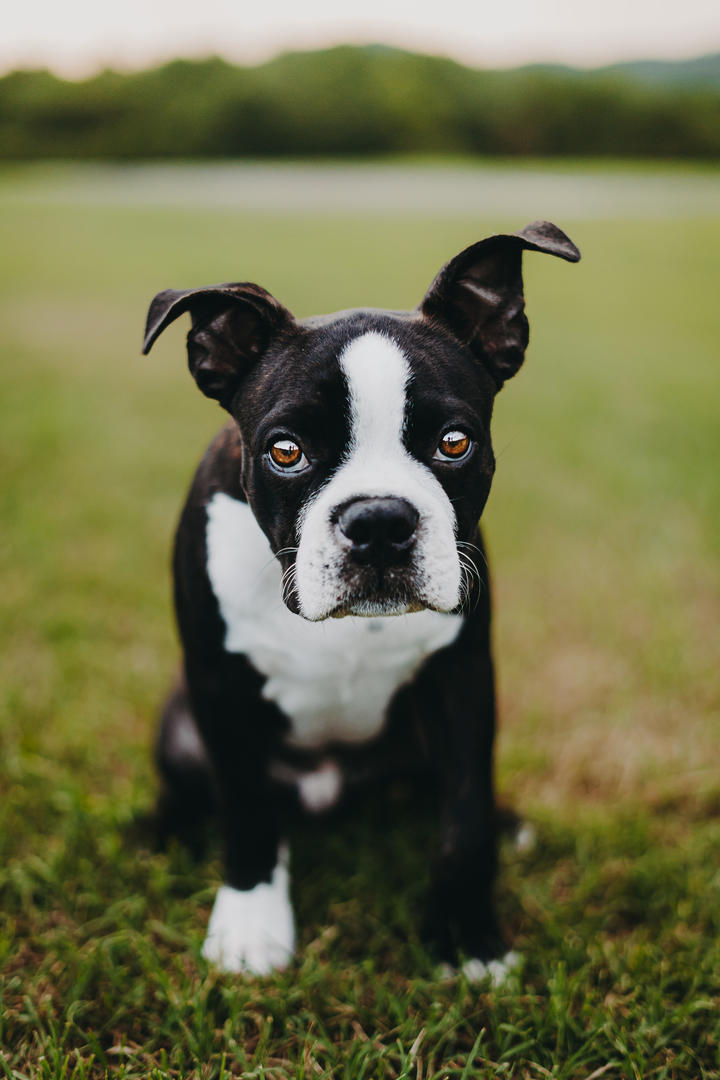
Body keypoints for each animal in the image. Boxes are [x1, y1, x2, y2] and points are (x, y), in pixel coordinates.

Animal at [140, 219, 578, 980]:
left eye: (455, 442)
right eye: (285, 451)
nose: (378, 521)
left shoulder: (461, 680)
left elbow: (464, 817)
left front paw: (467, 938)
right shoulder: (220, 686)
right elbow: (246, 810)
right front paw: (251, 924)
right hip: (180, 723)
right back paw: (162, 830)